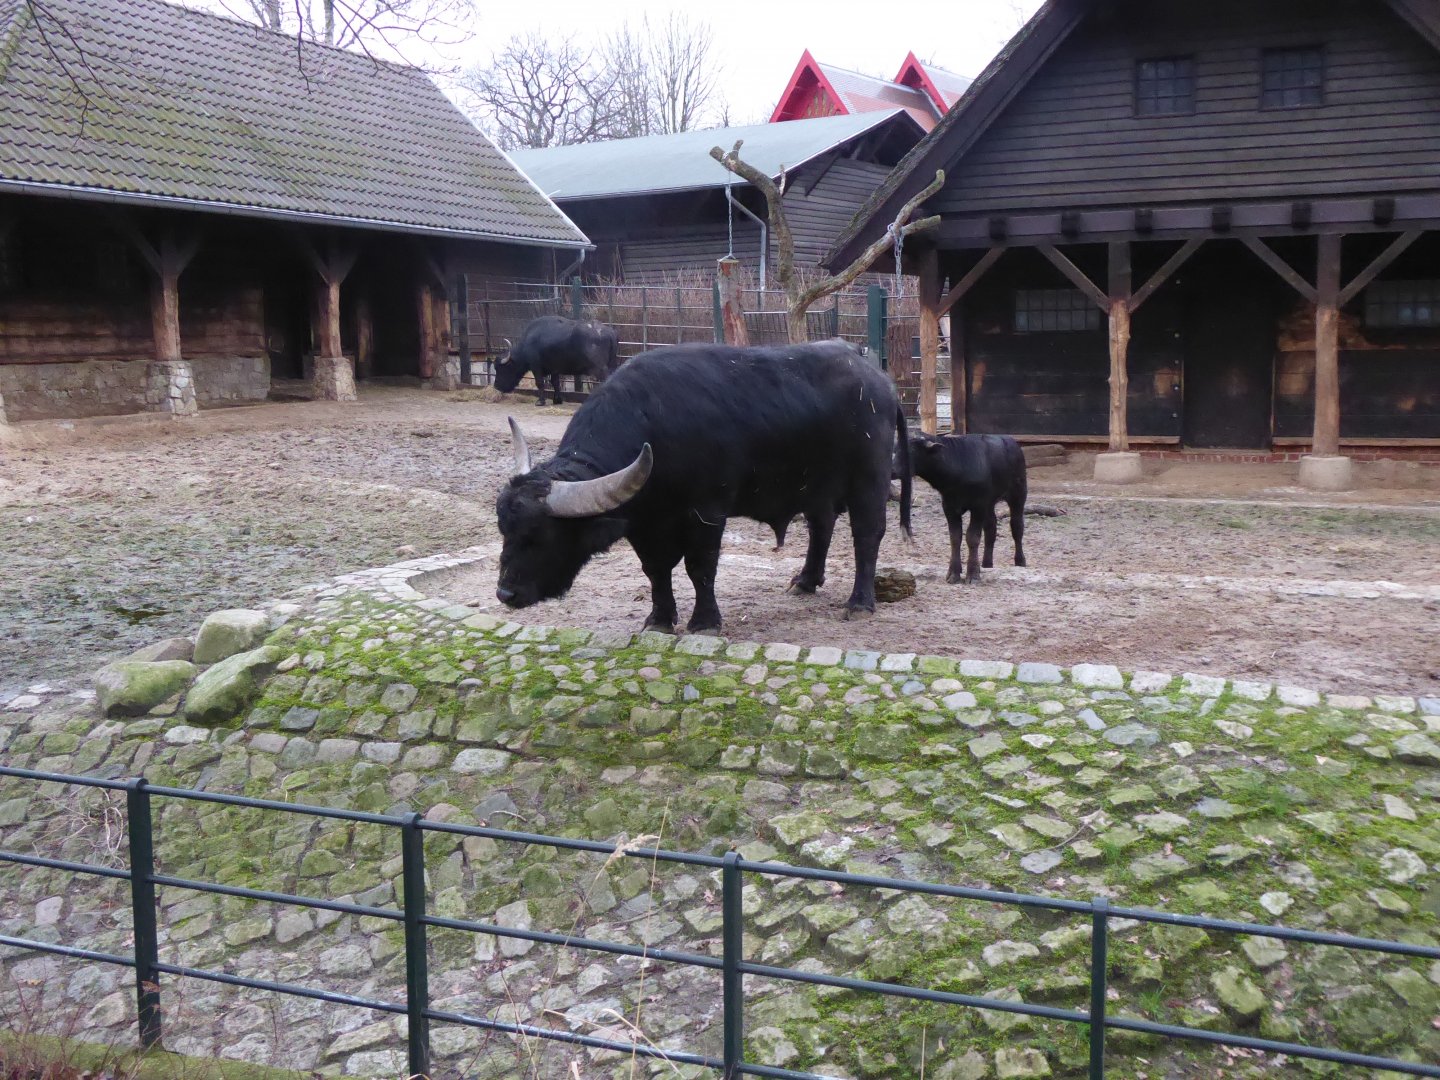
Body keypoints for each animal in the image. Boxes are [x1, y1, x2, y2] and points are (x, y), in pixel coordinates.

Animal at [492, 315, 621, 405]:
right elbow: (556, 383)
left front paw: (540, 401)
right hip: (612, 364)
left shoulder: (536, 367)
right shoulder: (555, 369)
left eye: (502, 368)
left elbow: (540, 383)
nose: (496, 386)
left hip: (600, 368)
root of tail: (609, 332)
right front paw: (557, 400)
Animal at [496, 340, 912, 633]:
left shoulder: (707, 512)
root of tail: (880, 381)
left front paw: (705, 622)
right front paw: (659, 620)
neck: (655, 426)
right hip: (816, 485)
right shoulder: (644, 522)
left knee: (867, 533)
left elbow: (700, 567)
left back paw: (860, 602)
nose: (505, 593)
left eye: (540, 536)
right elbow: (655, 570)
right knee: (821, 526)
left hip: (869, 480)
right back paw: (806, 581)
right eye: (504, 530)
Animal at [908, 432, 1028, 584]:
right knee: (991, 528)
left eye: (912, 450)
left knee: (1017, 526)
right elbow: (955, 537)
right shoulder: (950, 507)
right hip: (989, 504)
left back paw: (1020, 561)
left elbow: (972, 537)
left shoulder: (978, 506)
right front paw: (953, 574)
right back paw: (986, 564)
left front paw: (973, 575)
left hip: (1018, 494)